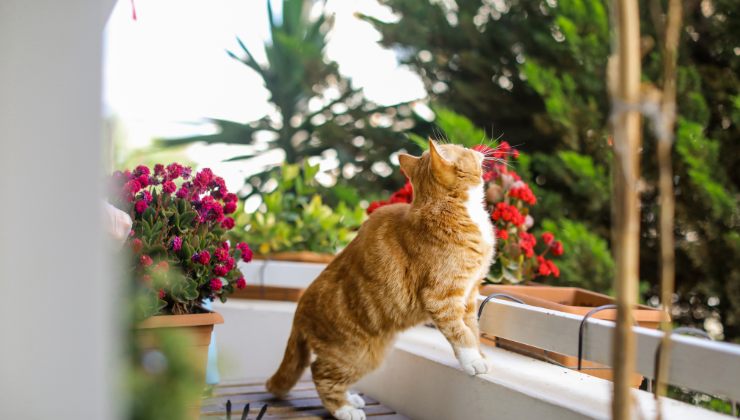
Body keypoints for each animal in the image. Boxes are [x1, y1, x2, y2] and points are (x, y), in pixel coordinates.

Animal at [264, 139, 494, 418]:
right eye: (462, 148)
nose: (479, 149)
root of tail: (299, 310)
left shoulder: (470, 295)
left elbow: (472, 329)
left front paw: (480, 355)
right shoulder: (441, 298)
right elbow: (460, 333)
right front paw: (472, 360)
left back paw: (351, 400)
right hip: (357, 354)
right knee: (319, 373)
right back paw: (344, 409)